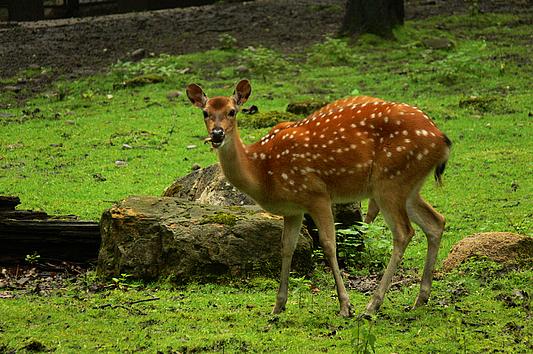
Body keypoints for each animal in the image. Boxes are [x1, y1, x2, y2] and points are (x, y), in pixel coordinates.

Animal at [185, 79, 450, 316]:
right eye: (205, 113)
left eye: (232, 111)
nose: (217, 134)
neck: (262, 170)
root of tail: (442, 139)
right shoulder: (293, 209)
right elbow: (286, 247)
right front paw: (278, 305)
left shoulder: (317, 194)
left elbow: (329, 245)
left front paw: (345, 306)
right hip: (408, 187)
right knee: (436, 222)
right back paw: (420, 299)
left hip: (390, 181)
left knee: (404, 232)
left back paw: (372, 306)